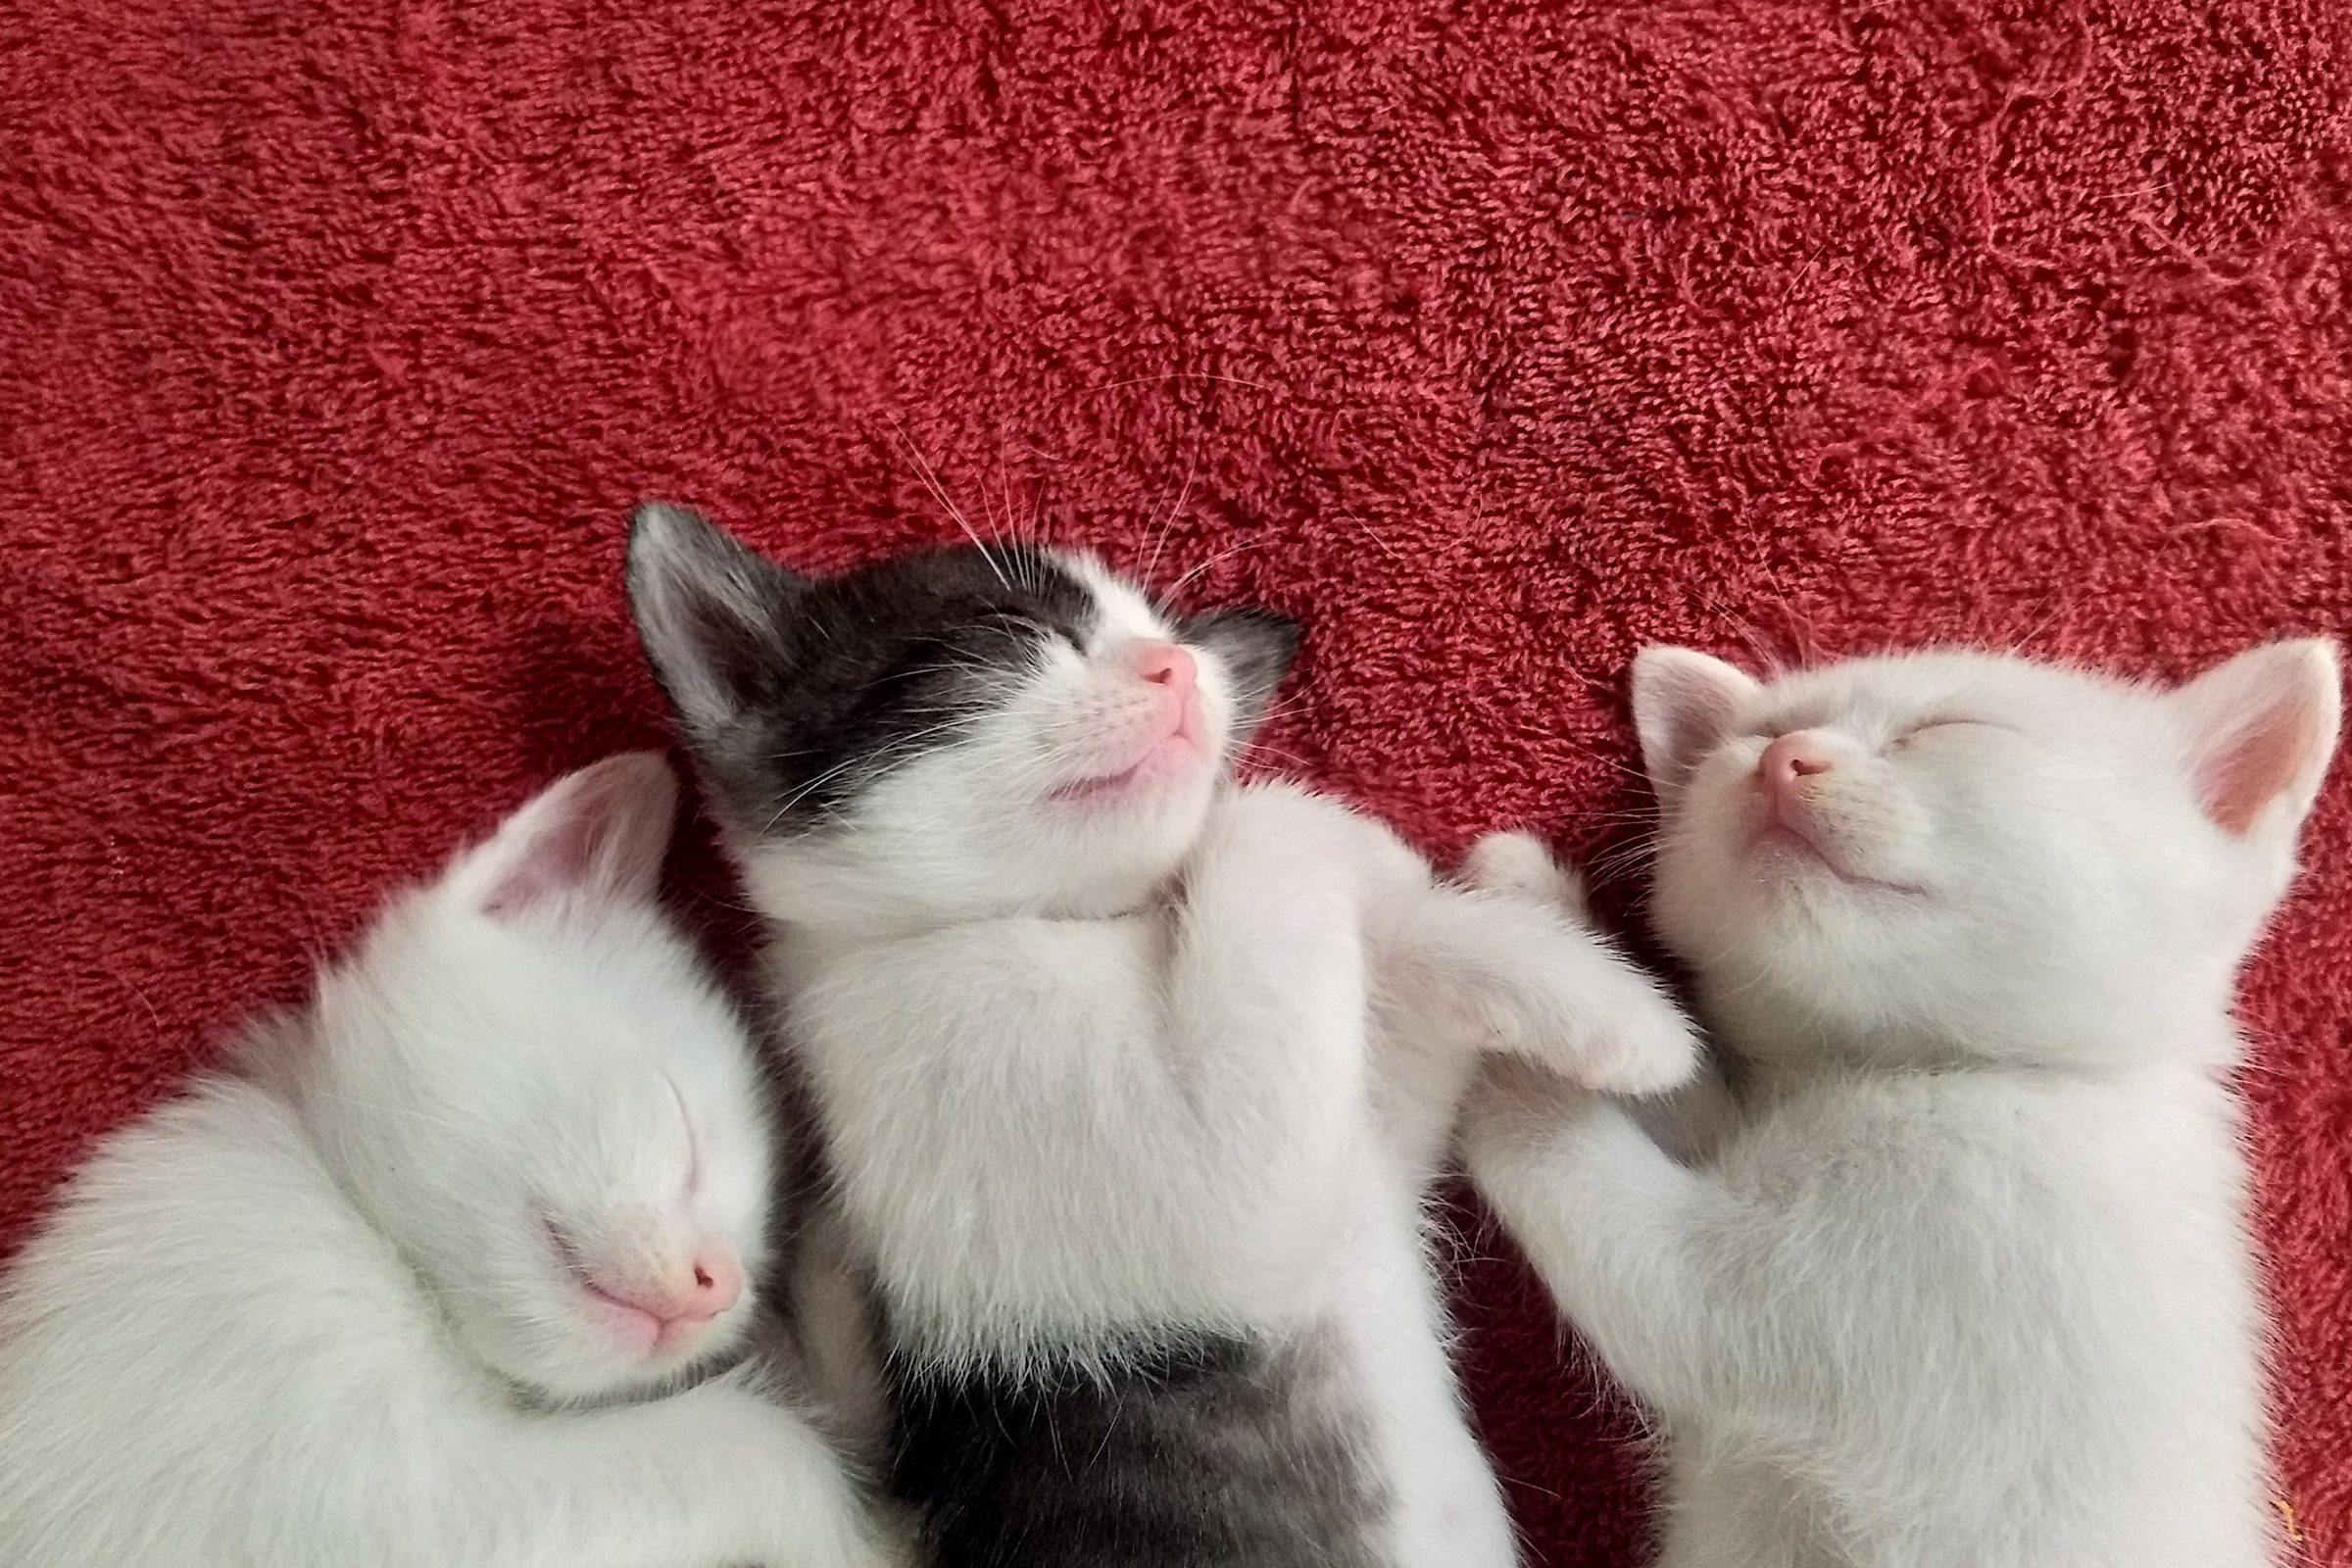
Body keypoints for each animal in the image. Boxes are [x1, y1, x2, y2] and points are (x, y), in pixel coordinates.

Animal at [0, 752, 898, 1568]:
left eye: (754, 1237)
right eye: (683, 1130)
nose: (721, 1284)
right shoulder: (355, 1487)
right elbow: (754, 1445)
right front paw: (862, 1538)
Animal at [620, 505, 1693, 1568]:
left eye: (1176, 637)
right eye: (1013, 629)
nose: (1177, 667)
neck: (1068, 923)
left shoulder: (1364, 1146)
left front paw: (1596, 998)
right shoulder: (1148, 1170)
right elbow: (1272, 823)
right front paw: (1340, 839)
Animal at [1458, 639, 2342, 1568]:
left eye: (1954, 727)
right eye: (1759, 733)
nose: (1784, 757)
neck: (1912, 1071)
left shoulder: (1829, 1283)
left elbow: (1615, 1222)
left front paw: (1492, 1026)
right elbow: (1685, 1091)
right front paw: (1543, 918)